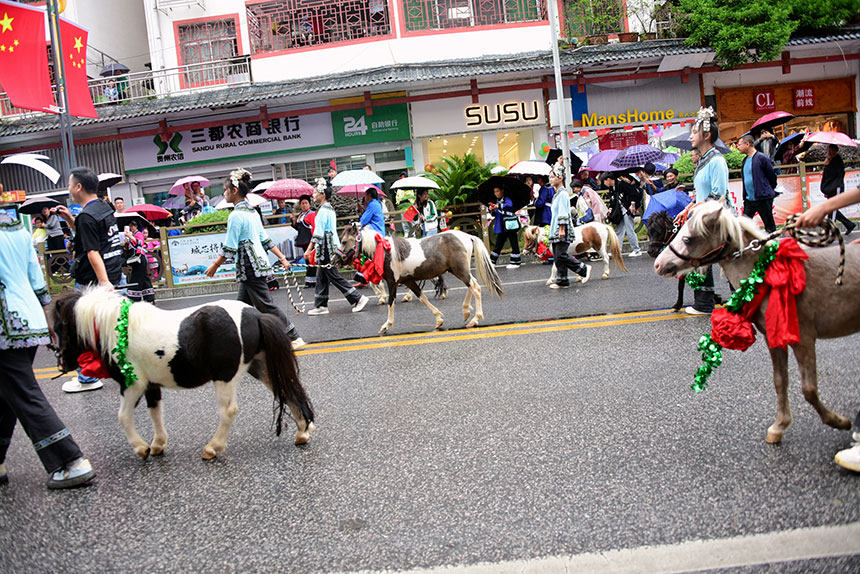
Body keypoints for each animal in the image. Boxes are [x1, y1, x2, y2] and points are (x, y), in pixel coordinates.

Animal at [50, 288, 314, 464]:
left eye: (59, 326)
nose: (61, 360)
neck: (118, 328)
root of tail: (256, 316)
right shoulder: (151, 385)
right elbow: (155, 412)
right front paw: (157, 444)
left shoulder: (132, 384)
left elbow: (123, 417)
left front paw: (141, 448)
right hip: (260, 368)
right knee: (287, 390)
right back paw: (302, 432)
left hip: (225, 378)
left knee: (229, 411)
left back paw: (213, 447)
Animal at [330, 227, 504, 336]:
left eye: (344, 241)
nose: (334, 261)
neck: (386, 252)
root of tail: (467, 236)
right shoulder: (408, 281)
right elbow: (422, 297)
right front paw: (439, 319)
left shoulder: (392, 281)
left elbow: (391, 303)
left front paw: (386, 326)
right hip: (457, 270)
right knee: (471, 286)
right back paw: (466, 310)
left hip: (460, 270)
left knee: (475, 287)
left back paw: (475, 319)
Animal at [656, 201, 856, 446]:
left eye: (687, 238)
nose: (658, 263)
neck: (768, 275)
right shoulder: (773, 337)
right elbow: (780, 380)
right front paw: (779, 426)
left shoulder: (804, 338)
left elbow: (809, 388)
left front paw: (839, 421)